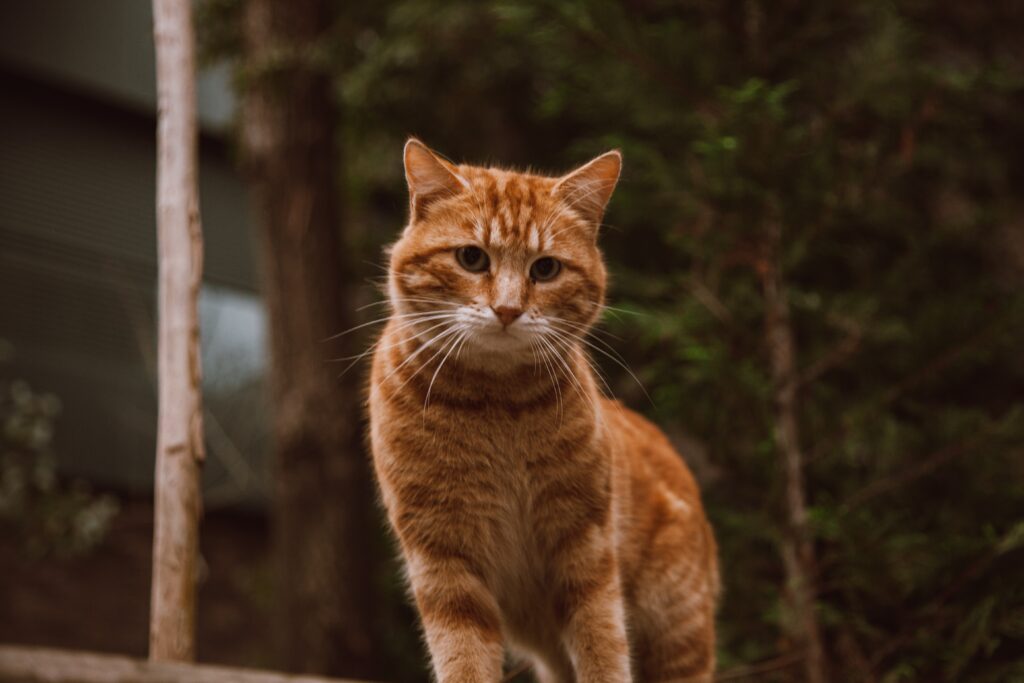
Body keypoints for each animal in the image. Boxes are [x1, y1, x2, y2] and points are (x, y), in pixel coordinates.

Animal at [370, 140, 720, 683]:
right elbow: (465, 658)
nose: (508, 310)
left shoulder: (585, 548)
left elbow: (602, 646)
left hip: (678, 635)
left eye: (546, 269)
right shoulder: (443, 559)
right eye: (471, 258)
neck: (494, 405)